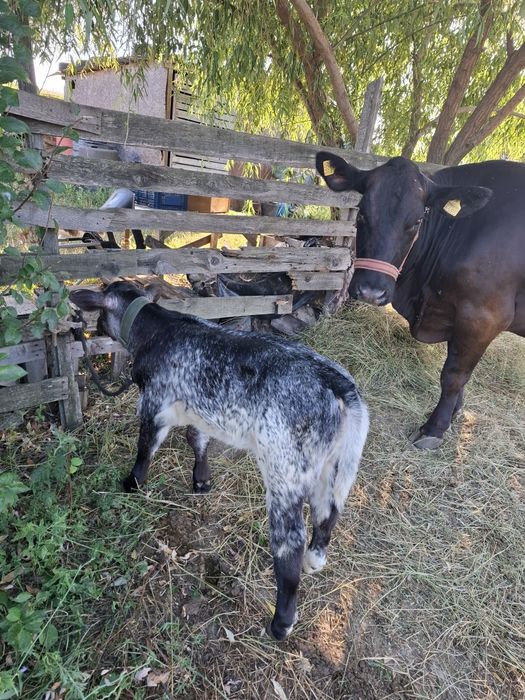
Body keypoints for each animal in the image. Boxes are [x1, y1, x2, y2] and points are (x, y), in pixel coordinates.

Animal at [70, 281, 369, 639]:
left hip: (285, 468)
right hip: (331, 464)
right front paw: (201, 479)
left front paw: (133, 483)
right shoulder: (197, 410)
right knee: (329, 510)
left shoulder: (154, 403)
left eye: (99, 312)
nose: (91, 330)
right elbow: (196, 439)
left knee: (290, 540)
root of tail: (338, 383)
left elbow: (146, 447)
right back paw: (315, 559)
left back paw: (281, 622)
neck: (156, 331)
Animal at [316, 152, 525, 449]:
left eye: (416, 222)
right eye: (362, 213)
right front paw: (454, 411)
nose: (371, 291)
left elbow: (454, 374)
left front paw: (434, 428)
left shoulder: (483, 316)